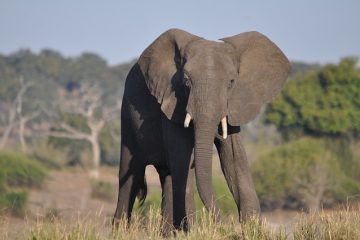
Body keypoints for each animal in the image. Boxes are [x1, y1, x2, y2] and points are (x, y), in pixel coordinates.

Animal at [114, 27, 292, 232]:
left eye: (232, 82)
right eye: (186, 81)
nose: (224, 226)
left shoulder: (233, 106)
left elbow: (234, 160)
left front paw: (253, 229)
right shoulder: (172, 104)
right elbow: (183, 161)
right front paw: (193, 231)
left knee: (168, 177)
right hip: (127, 117)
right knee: (130, 178)